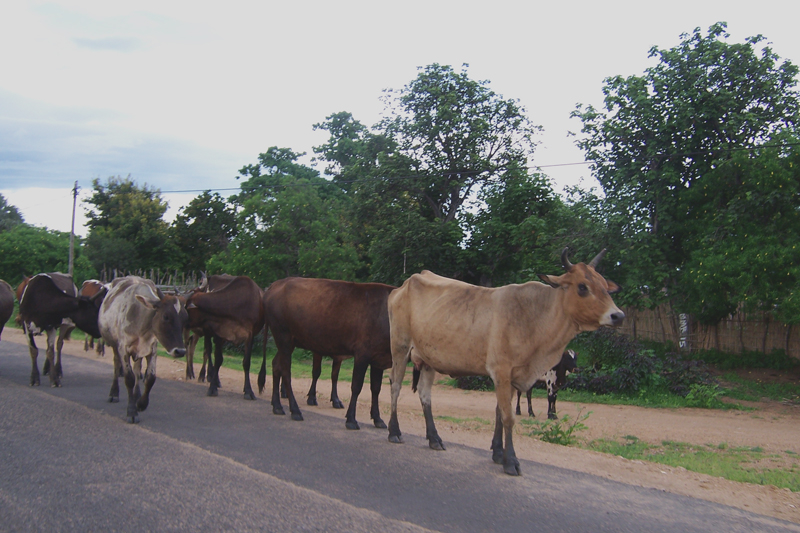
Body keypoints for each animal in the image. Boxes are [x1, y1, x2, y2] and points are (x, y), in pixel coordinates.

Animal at [99, 276, 188, 423]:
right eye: (166, 316)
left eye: (185, 318)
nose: (180, 351)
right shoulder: (123, 349)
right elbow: (129, 378)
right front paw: (132, 412)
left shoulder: (152, 349)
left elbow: (150, 378)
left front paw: (141, 403)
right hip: (114, 346)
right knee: (117, 366)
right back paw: (114, 393)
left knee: (137, 370)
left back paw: (136, 395)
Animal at [262, 277, 395, 430]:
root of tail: (277, 283)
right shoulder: (362, 354)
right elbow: (356, 387)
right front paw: (351, 419)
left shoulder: (378, 358)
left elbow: (376, 389)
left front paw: (377, 418)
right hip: (283, 336)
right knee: (286, 372)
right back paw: (295, 410)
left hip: (289, 343)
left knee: (276, 365)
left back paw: (277, 406)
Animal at [387, 248, 624, 476]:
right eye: (582, 287)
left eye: (605, 286)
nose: (618, 316)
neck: (535, 316)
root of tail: (404, 285)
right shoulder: (501, 372)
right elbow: (509, 417)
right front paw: (511, 461)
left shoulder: (513, 376)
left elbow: (500, 412)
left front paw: (498, 453)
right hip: (400, 348)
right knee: (395, 386)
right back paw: (394, 431)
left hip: (428, 359)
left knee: (425, 395)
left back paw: (434, 438)